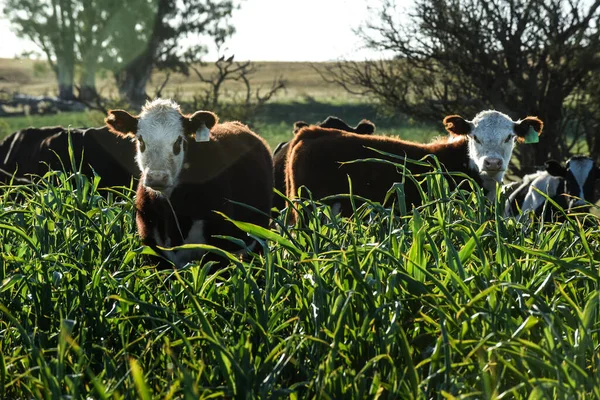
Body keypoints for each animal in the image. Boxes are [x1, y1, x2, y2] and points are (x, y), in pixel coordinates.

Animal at [104, 98, 274, 268]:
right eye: (140, 140)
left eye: (178, 141)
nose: (157, 177)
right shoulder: (152, 250)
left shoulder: (218, 251)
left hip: (258, 239)